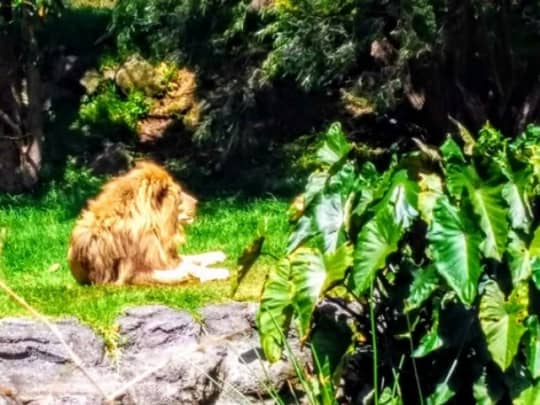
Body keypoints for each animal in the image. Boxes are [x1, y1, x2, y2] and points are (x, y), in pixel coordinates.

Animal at [67, 159, 230, 286]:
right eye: (179, 194)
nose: (197, 202)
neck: (154, 228)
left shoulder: (161, 255)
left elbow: (190, 259)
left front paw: (216, 255)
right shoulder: (131, 274)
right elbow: (187, 267)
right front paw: (219, 271)